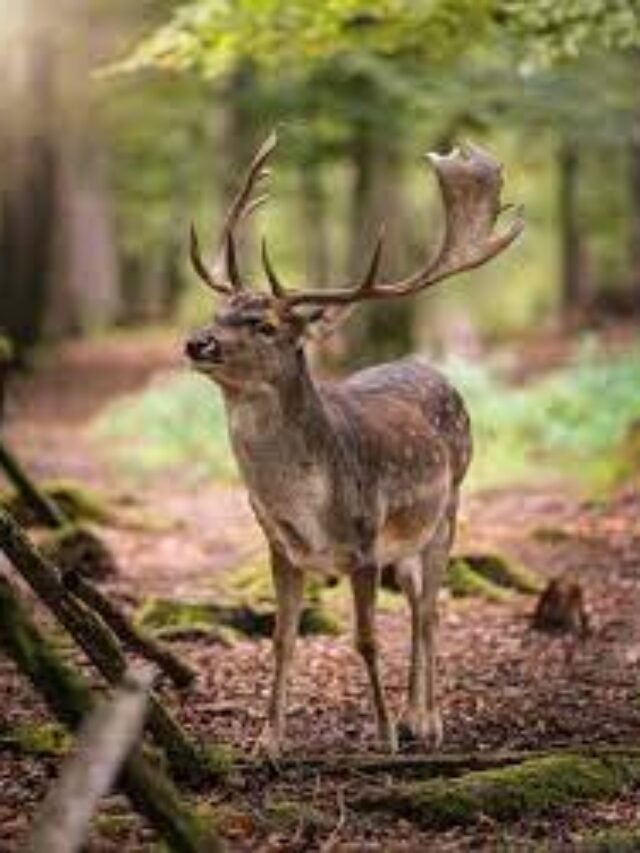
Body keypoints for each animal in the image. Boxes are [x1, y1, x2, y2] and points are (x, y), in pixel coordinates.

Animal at [184, 130, 523, 756]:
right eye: (218, 311)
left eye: (266, 325)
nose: (198, 343)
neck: (307, 507)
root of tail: (433, 368)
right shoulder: (280, 547)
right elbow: (282, 639)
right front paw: (267, 743)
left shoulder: (364, 542)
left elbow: (366, 639)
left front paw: (385, 735)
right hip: (407, 539)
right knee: (415, 599)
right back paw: (416, 716)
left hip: (448, 506)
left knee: (429, 611)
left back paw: (426, 722)